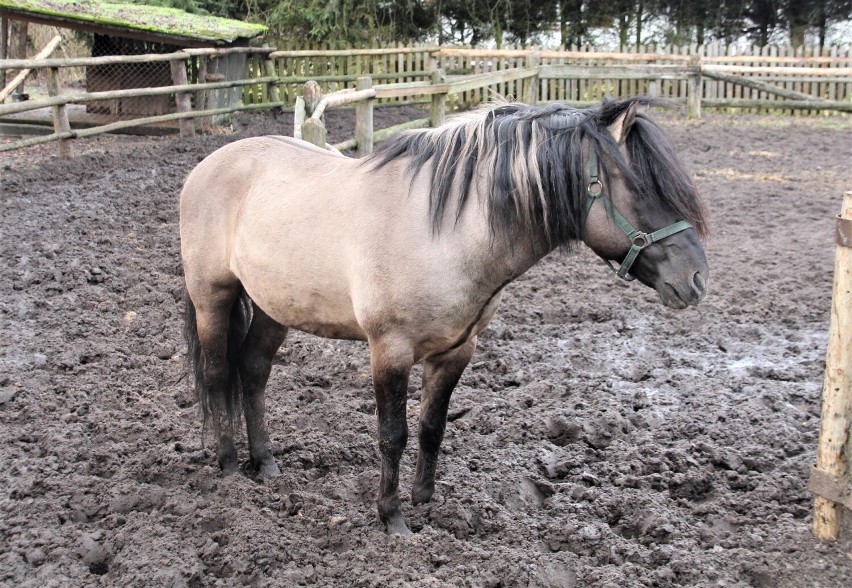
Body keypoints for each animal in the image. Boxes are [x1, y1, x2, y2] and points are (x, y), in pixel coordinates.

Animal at [178, 99, 704, 536]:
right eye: (640, 189)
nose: (696, 279)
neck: (447, 233)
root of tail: (208, 165)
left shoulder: (455, 351)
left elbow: (433, 427)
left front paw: (425, 502)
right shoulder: (389, 350)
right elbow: (393, 434)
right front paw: (392, 517)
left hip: (274, 307)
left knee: (253, 371)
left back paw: (265, 462)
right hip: (212, 297)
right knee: (219, 373)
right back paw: (229, 465)